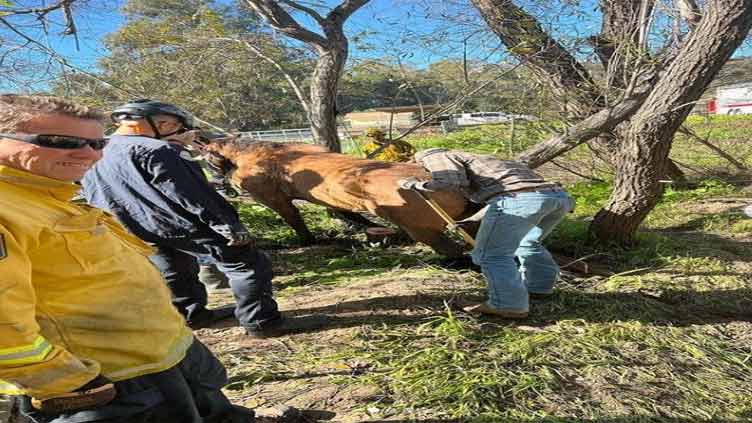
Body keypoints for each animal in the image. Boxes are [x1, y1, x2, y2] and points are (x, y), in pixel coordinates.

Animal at [203, 141, 478, 256]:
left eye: (207, 155)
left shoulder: (272, 197)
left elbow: (294, 219)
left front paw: (308, 241)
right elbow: (343, 211)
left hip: (418, 225)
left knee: (451, 247)